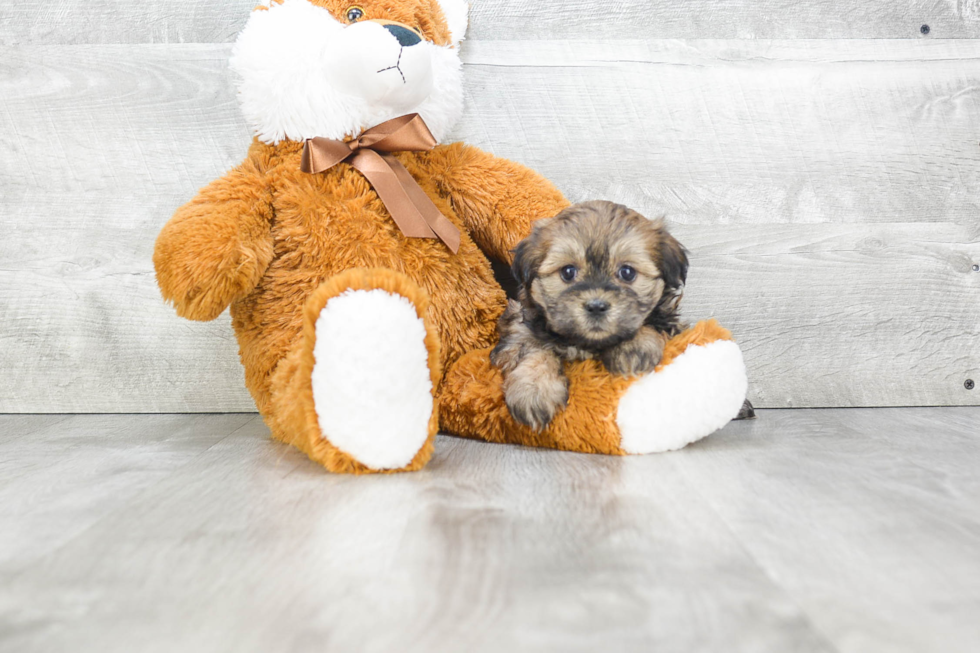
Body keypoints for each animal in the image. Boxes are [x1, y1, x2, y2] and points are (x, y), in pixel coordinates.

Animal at [490, 201, 688, 430]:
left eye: (627, 272)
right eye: (568, 272)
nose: (596, 306)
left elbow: (650, 323)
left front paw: (634, 346)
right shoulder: (520, 332)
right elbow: (535, 350)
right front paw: (533, 389)